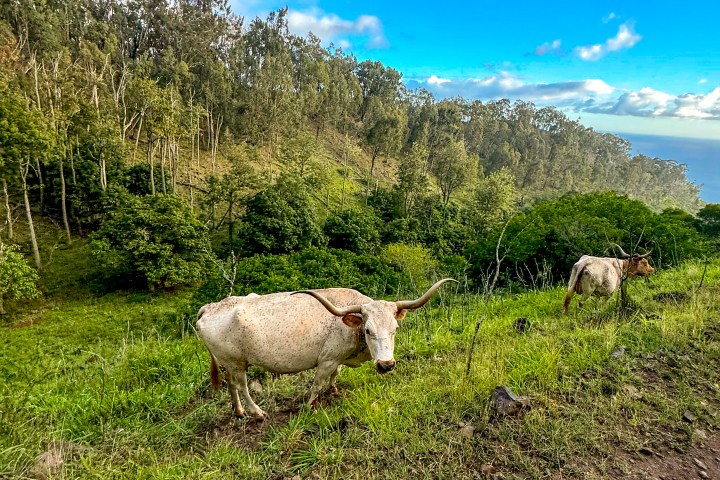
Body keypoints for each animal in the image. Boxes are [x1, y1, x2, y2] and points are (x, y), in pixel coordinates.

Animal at [196, 278, 457, 419]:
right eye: (368, 330)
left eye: (395, 328)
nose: (386, 365)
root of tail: (210, 307)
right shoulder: (327, 359)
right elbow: (318, 383)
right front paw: (310, 405)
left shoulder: (337, 359)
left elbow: (335, 375)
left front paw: (334, 390)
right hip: (236, 363)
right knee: (242, 386)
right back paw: (257, 413)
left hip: (229, 364)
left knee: (231, 385)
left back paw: (239, 412)